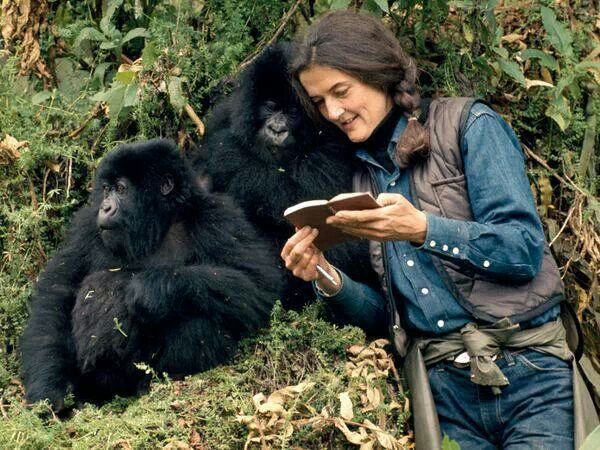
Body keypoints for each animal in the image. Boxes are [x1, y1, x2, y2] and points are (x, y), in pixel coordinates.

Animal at [19, 140, 282, 408]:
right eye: (106, 189)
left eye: (121, 189)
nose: (105, 207)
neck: (156, 224)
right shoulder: (85, 226)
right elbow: (56, 295)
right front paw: (50, 390)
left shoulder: (218, 216)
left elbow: (259, 284)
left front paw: (149, 289)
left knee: (202, 314)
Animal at [195, 43, 378, 306]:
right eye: (270, 106)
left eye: (292, 112)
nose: (277, 129)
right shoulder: (224, 115)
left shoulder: (335, 139)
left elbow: (297, 195)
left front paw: (225, 153)